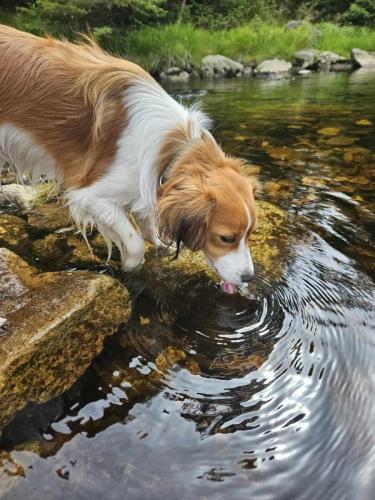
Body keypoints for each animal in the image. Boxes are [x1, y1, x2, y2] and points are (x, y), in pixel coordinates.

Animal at [0, 24, 258, 292]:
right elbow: (134, 241)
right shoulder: (89, 196)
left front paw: (159, 244)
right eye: (226, 238)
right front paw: (131, 265)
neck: (173, 149)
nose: (249, 277)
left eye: (250, 233)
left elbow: (148, 224)